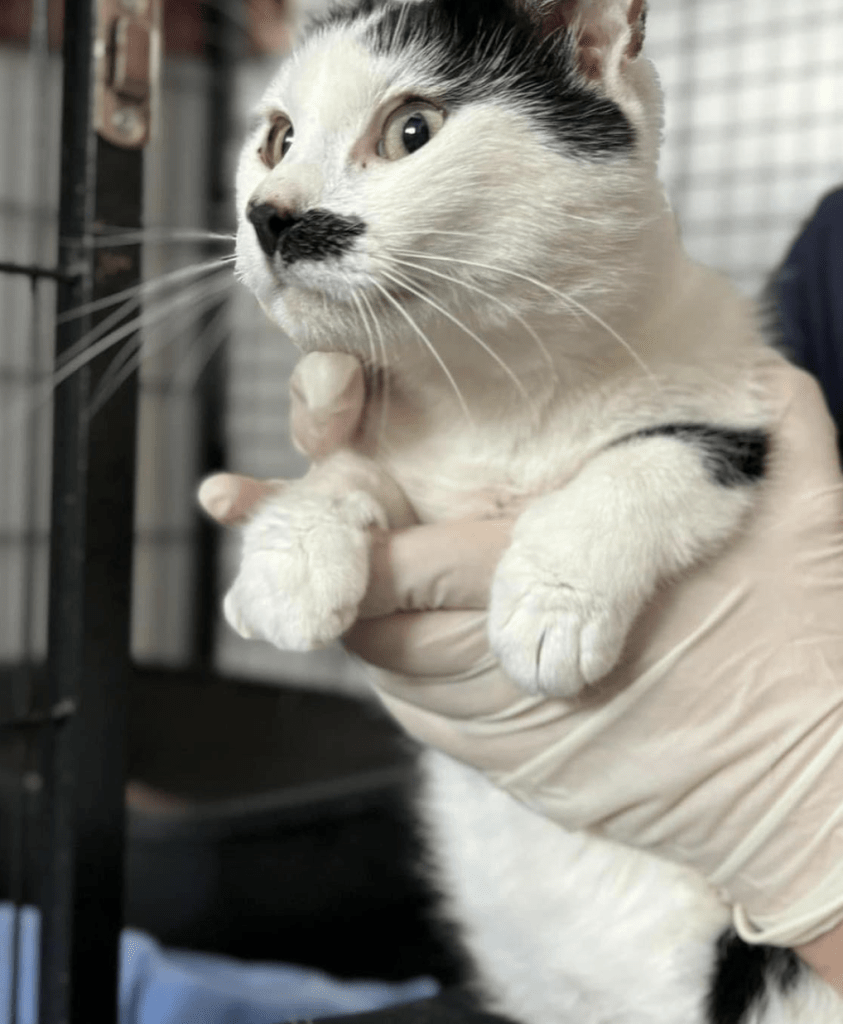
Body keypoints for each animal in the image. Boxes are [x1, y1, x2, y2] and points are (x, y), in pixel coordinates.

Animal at [221, 4, 839, 1019]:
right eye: (275, 139)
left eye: (412, 130)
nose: (267, 213)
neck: (499, 398)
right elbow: (351, 476)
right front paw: (292, 559)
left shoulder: (743, 412)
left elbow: (650, 459)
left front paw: (552, 605)